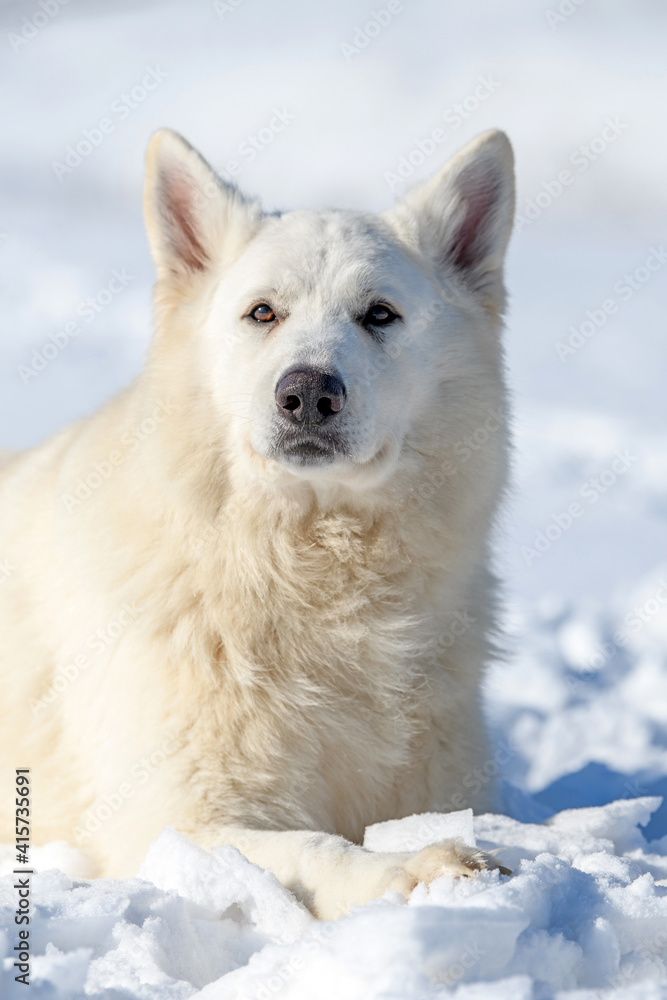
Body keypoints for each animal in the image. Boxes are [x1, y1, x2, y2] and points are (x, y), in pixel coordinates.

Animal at [0, 127, 516, 920]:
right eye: (262, 313)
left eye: (379, 314)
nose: (307, 393)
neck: (308, 571)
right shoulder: (176, 823)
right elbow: (314, 849)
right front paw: (416, 871)